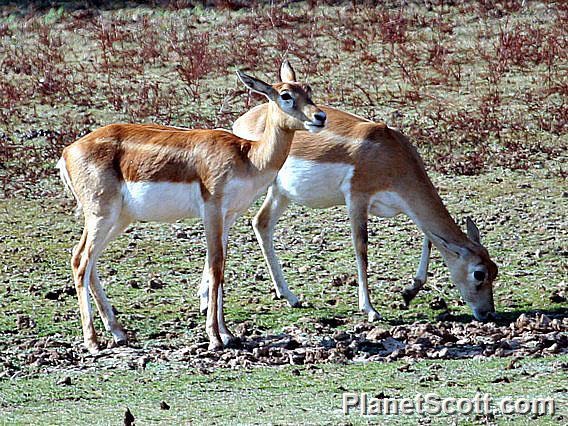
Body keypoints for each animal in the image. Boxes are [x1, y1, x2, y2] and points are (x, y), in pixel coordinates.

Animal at [57, 67, 326, 352]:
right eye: (285, 95)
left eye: (307, 90)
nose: (320, 117)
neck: (248, 156)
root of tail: (67, 152)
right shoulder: (212, 210)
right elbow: (216, 267)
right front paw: (214, 338)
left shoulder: (228, 217)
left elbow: (219, 267)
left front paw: (228, 334)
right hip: (101, 215)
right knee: (81, 261)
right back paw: (92, 342)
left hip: (119, 218)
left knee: (86, 260)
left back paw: (118, 333)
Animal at [200, 61, 496, 322]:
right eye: (478, 273)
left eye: (494, 270)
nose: (487, 313)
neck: (391, 154)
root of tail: (243, 121)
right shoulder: (357, 199)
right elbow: (361, 247)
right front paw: (371, 309)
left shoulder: (403, 205)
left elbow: (428, 237)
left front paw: (408, 292)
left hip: (281, 193)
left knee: (260, 224)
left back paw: (288, 297)